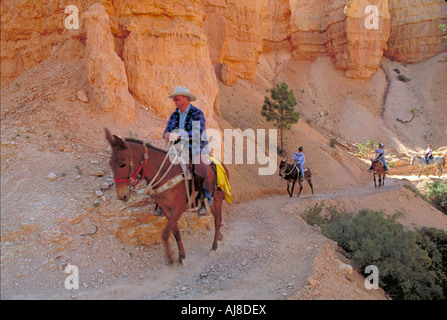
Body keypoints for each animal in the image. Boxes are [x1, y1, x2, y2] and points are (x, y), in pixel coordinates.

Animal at [105, 127, 228, 264]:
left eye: (123, 164)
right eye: (111, 164)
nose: (122, 195)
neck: (166, 174)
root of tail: (221, 164)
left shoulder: (179, 207)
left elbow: (165, 233)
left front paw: (170, 258)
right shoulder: (167, 210)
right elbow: (175, 233)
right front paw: (180, 256)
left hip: (217, 198)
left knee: (217, 220)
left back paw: (214, 247)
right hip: (210, 202)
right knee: (217, 218)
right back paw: (220, 236)